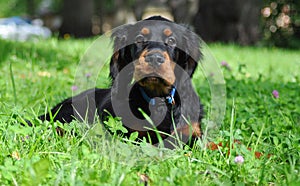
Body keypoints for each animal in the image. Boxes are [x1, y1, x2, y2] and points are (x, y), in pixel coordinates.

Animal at [29, 16, 204, 147]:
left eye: (172, 40)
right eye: (139, 39)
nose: (154, 58)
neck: (157, 98)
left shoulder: (192, 131)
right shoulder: (132, 134)